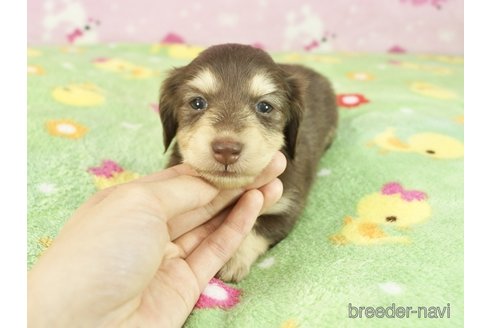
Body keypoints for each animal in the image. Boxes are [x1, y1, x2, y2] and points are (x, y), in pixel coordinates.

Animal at [160, 42, 336, 280]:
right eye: (197, 102)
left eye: (265, 107)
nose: (226, 150)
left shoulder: (287, 206)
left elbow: (255, 227)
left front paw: (232, 259)